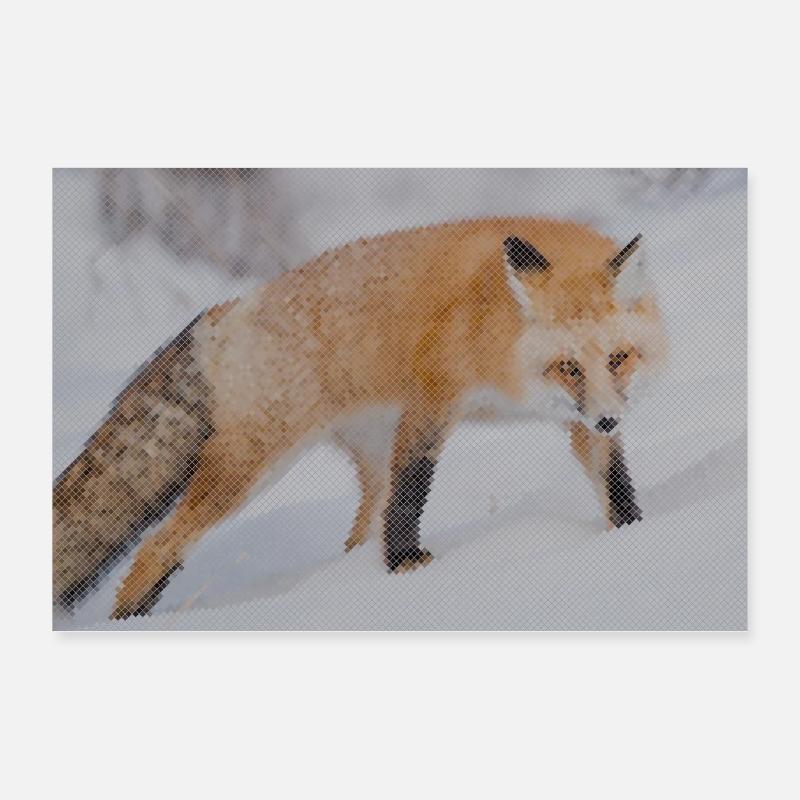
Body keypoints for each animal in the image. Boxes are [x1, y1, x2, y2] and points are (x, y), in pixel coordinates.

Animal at [53, 217, 667, 620]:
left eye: (618, 358)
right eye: (568, 366)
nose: (611, 420)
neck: (497, 333)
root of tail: (226, 311)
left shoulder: (579, 419)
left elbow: (614, 485)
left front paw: (634, 534)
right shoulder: (432, 398)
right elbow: (414, 492)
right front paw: (406, 566)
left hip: (368, 453)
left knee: (357, 534)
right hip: (252, 467)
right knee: (159, 545)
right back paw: (132, 619)